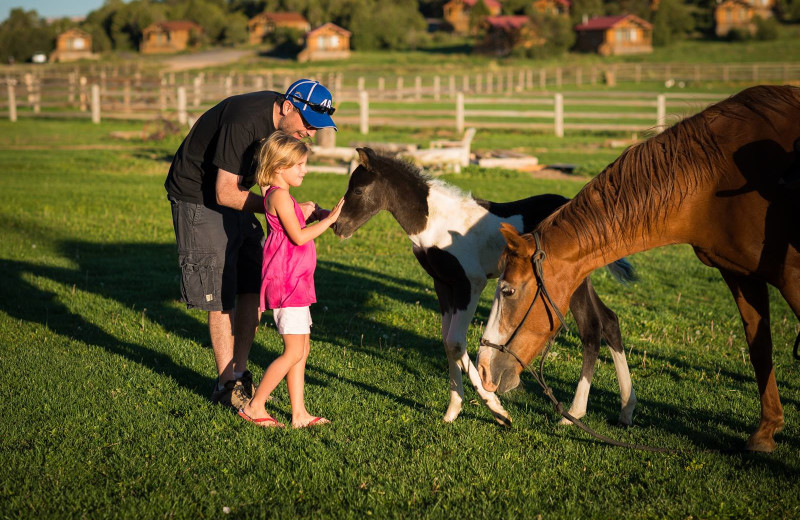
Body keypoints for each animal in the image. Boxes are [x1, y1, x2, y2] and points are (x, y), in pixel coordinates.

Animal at [332, 147, 636, 426]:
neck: (434, 222)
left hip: (569, 284)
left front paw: (498, 411)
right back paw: (626, 409)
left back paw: (573, 413)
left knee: (591, 329)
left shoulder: (470, 284)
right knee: (609, 321)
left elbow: (456, 342)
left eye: (357, 190)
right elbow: (447, 341)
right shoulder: (443, 285)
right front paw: (453, 409)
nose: (337, 227)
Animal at [478, 84, 796, 450]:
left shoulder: (791, 275)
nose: (484, 369)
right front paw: (765, 432)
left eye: (508, 290)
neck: (712, 183)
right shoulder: (739, 274)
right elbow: (760, 348)